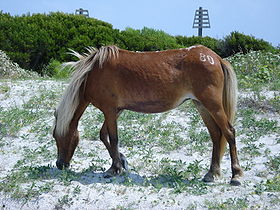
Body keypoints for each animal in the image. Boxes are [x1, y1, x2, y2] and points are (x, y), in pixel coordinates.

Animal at [52, 44, 243, 185]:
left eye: (57, 136)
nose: (60, 165)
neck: (94, 73)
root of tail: (216, 58)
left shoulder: (109, 110)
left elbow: (113, 138)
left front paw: (114, 168)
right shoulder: (116, 111)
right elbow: (104, 135)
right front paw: (122, 161)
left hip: (213, 106)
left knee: (229, 132)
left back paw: (236, 175)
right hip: (202, 106)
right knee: (216, 135)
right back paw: (212, 173)